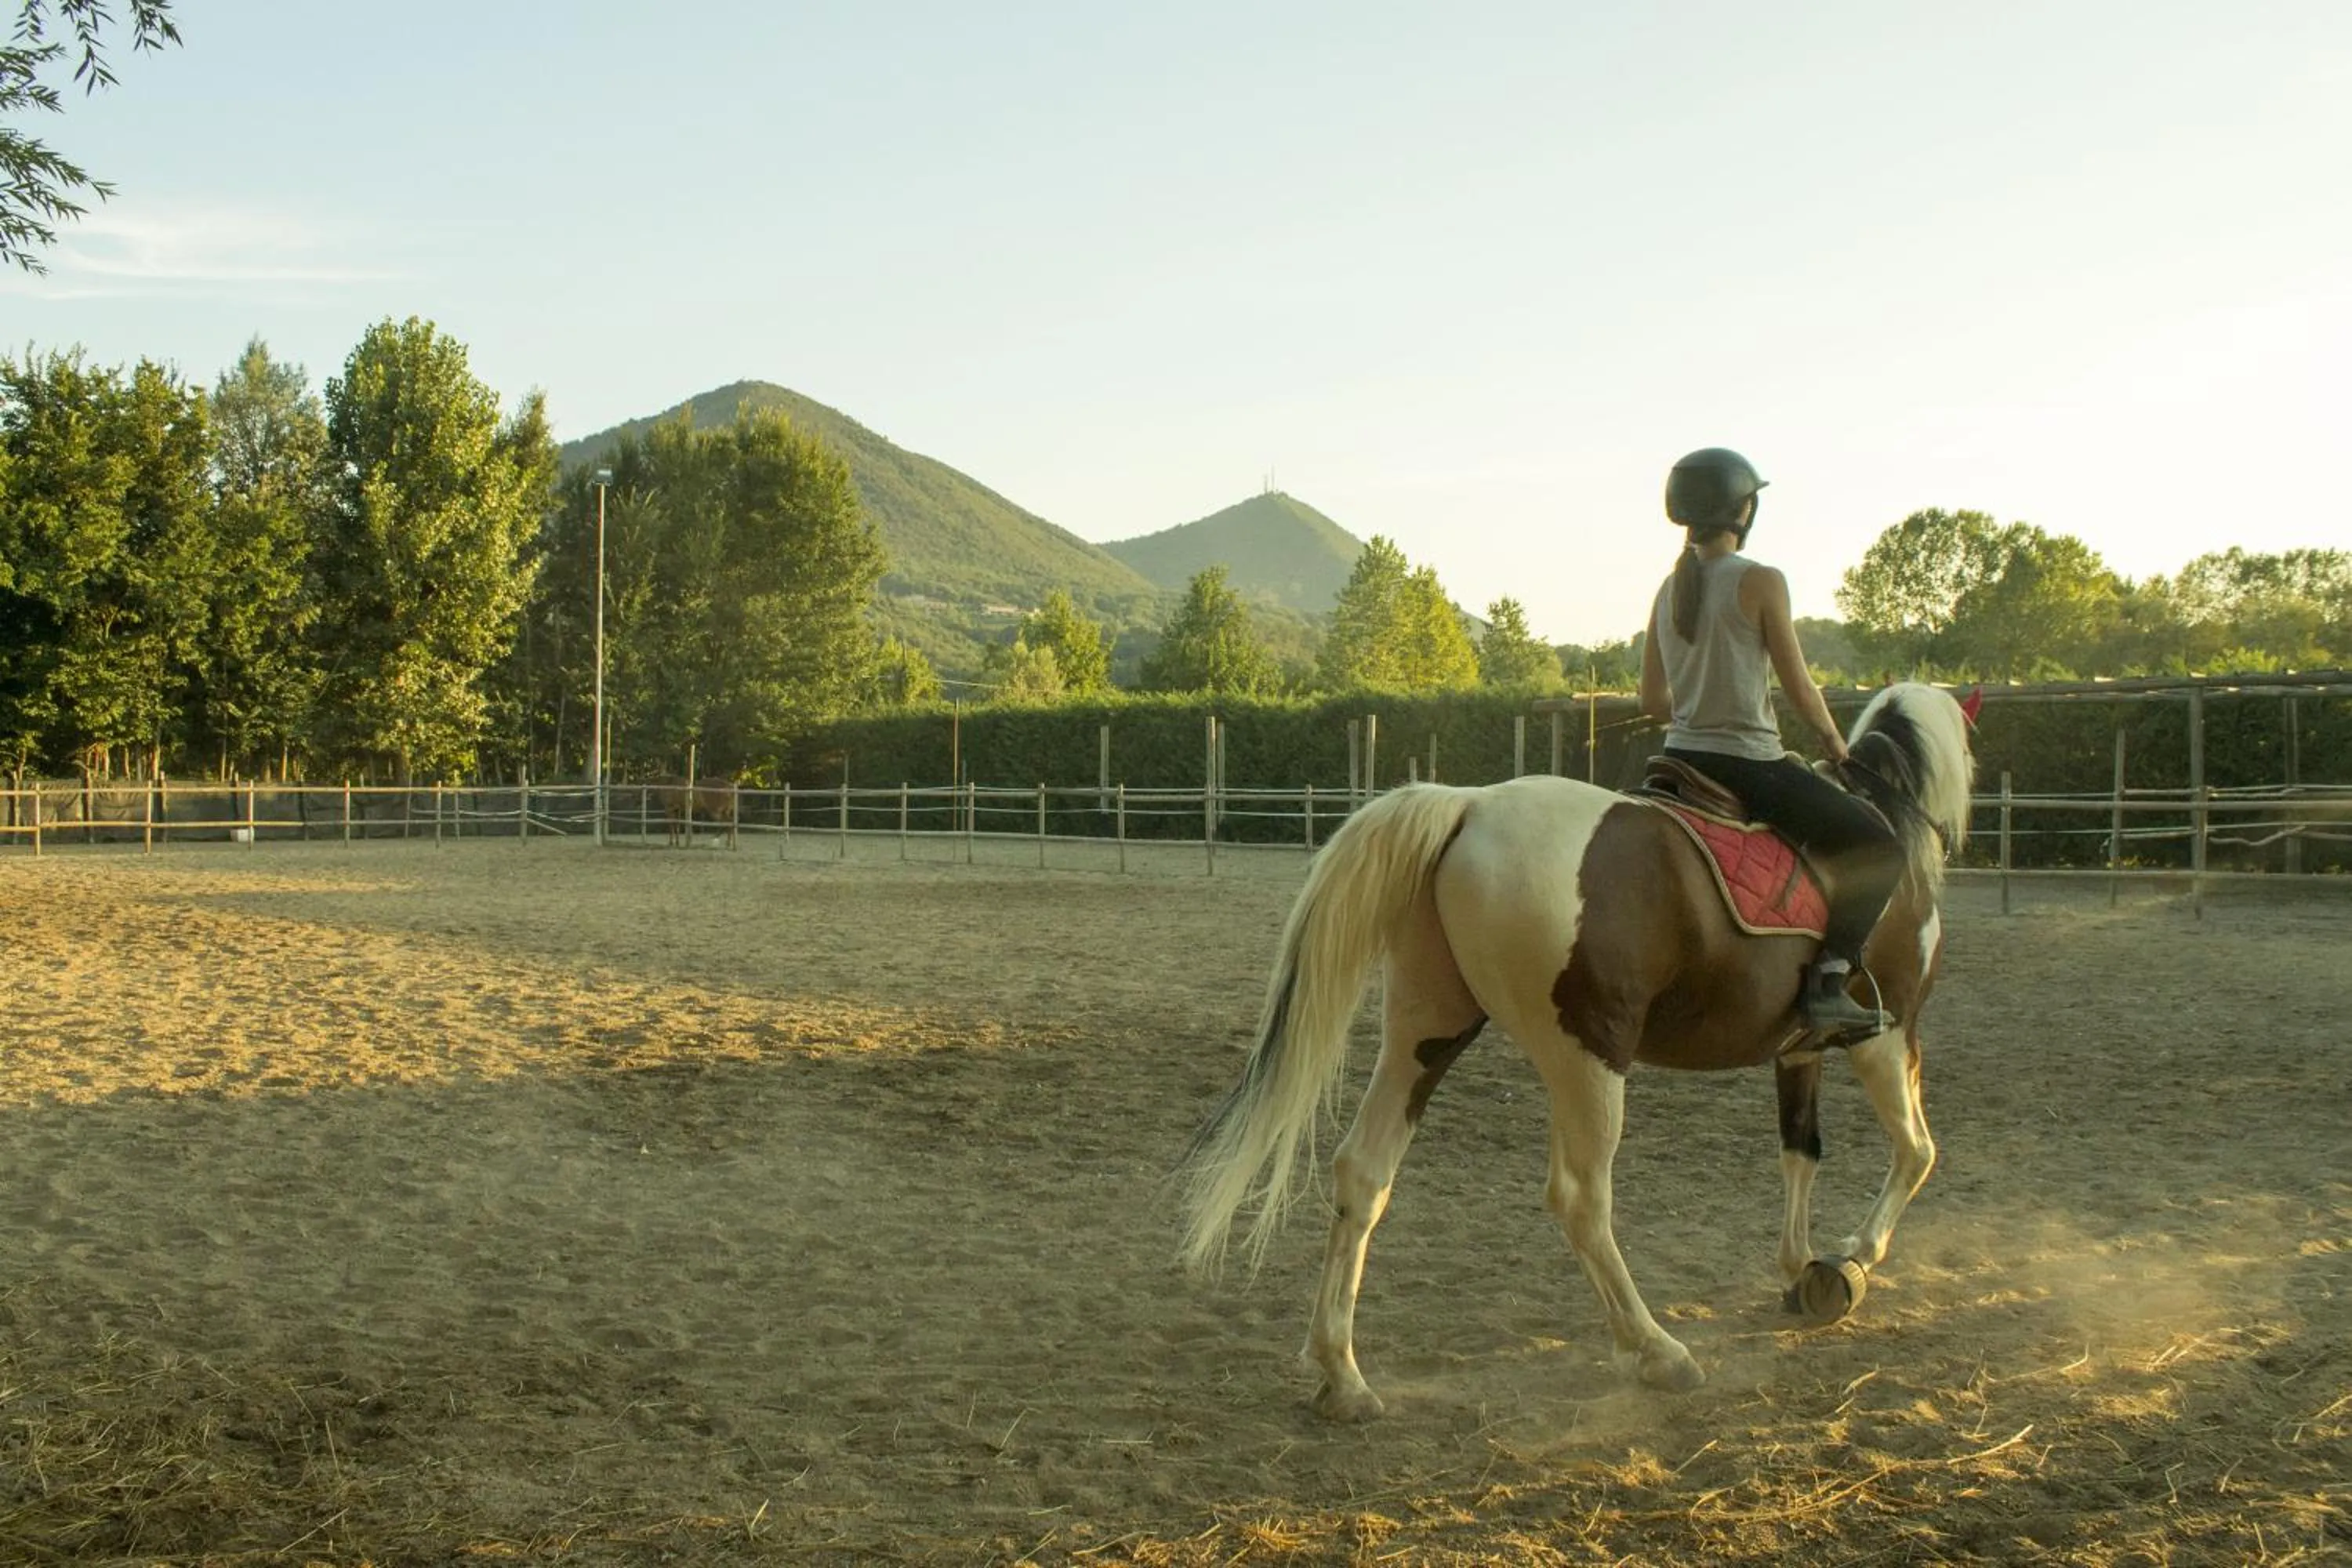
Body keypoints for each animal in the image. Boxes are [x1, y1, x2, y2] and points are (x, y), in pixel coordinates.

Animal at [1179, 681, 1975, 1417]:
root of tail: (1470, 806)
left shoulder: (1798, 1050)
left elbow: (1801, 1152)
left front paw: (1797, 1265)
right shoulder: (1888, 1034)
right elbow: (1916, 1150)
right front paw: (1854, 1259)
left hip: (1427, 1029)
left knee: (1364, 1172)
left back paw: (1342, 1375)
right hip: (1589, 1056)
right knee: (1581, 1199)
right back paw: (1658, 1350)